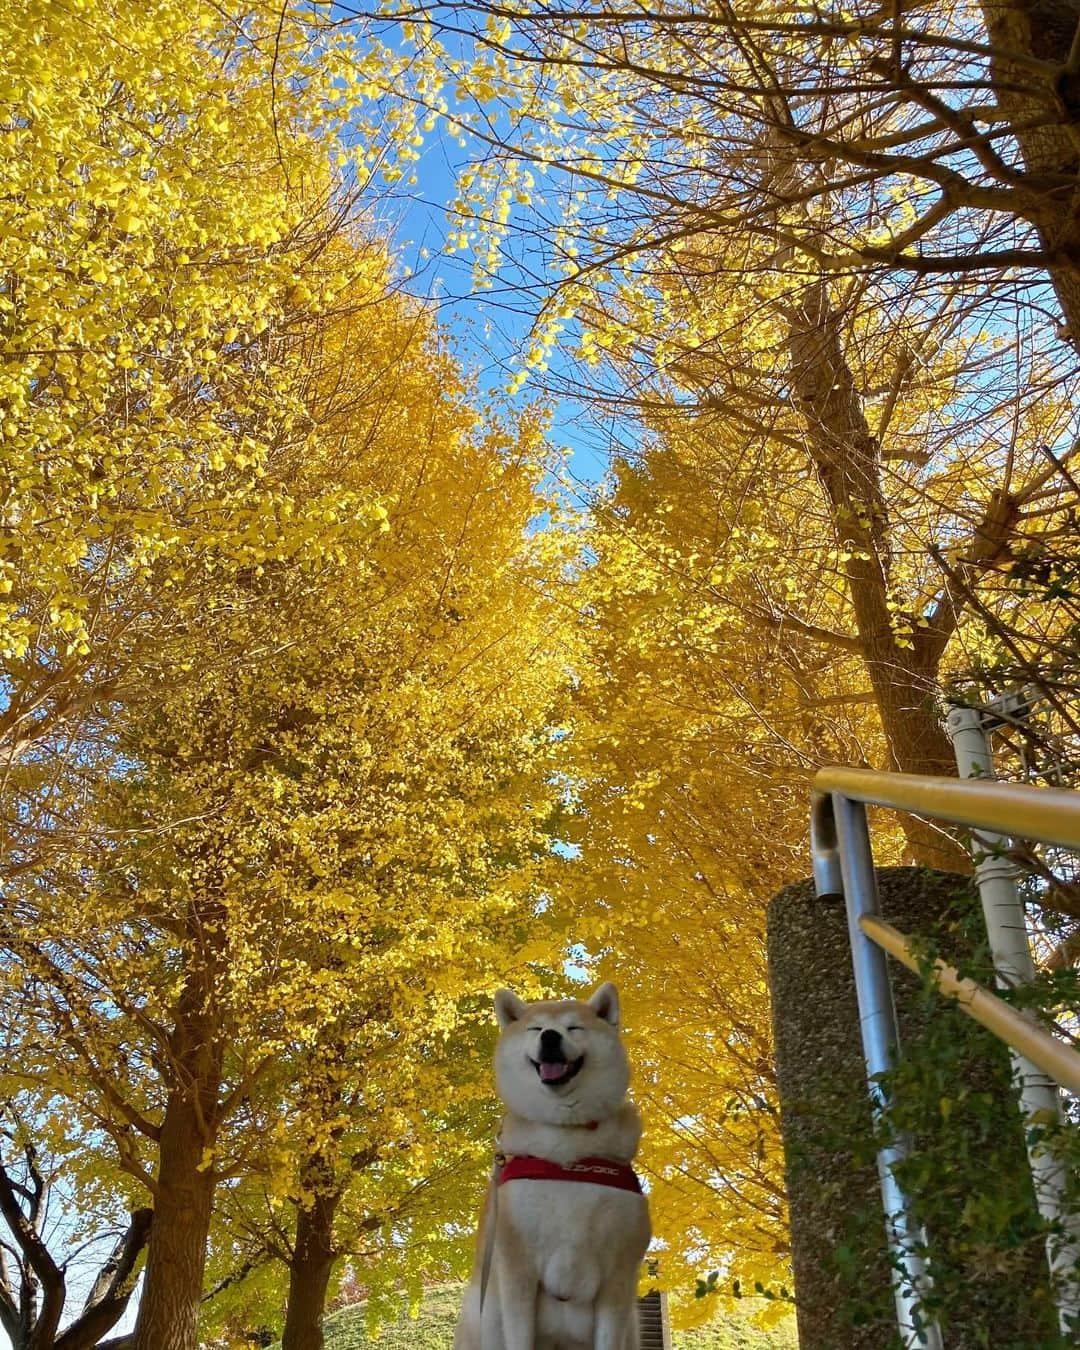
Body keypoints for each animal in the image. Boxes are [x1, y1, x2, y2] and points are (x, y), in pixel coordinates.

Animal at [456, 982, 650, 1350]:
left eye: (574, 1027)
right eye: (535, 1028)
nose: (549, 1036)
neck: (567, 1142)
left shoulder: (618, 1274)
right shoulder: (516, 1264)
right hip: (484, 1317)